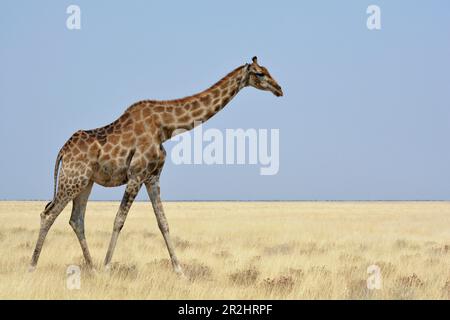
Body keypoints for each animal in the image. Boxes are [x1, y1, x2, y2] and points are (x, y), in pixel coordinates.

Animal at [29, 57, 282, 276]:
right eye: (260, 73)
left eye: (268, 70)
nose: (279, 89)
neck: (165, 126)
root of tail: (62, 151)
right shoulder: (136, 173)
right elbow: (119, 220)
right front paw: (108, 268)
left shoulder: (153, 176)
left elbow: (163, 222)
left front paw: (180, 271)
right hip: (73, 179)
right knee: (48, 213)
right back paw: (33, 266)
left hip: (86, 183)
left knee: (76, 219)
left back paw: (91, 269)